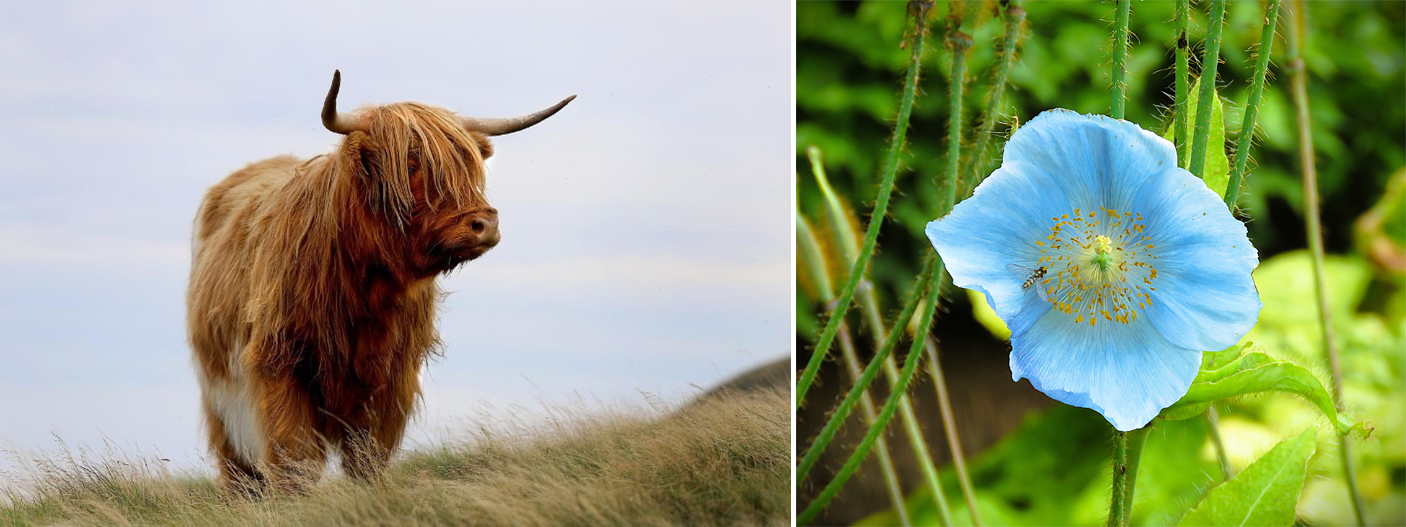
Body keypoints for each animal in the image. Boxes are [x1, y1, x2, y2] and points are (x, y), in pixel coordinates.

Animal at [186, 70, 572, 494]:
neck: (366, 286)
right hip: (221, 396)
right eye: (412, 162)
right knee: (239, 468)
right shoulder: (280, 362)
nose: (485, 223)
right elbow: (295, 458)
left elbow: (367, 456)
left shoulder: (391, 379)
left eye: (468, 165)